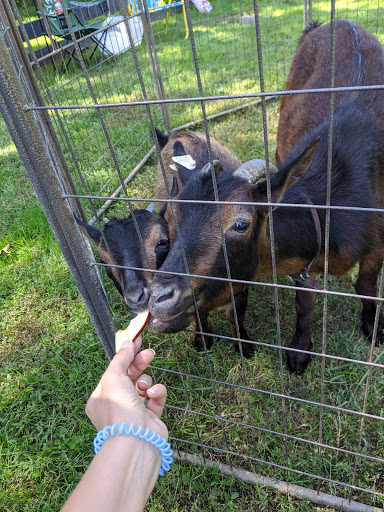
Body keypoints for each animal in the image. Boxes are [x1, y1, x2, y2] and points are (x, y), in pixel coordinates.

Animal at [148, 21, 384, 372]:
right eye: (172, 218)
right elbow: (304, 302)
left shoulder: (378, 240)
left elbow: (367, 288)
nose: (160, 297)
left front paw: (373, 329)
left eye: (241, 224)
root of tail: (341, 23)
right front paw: (299, 352)